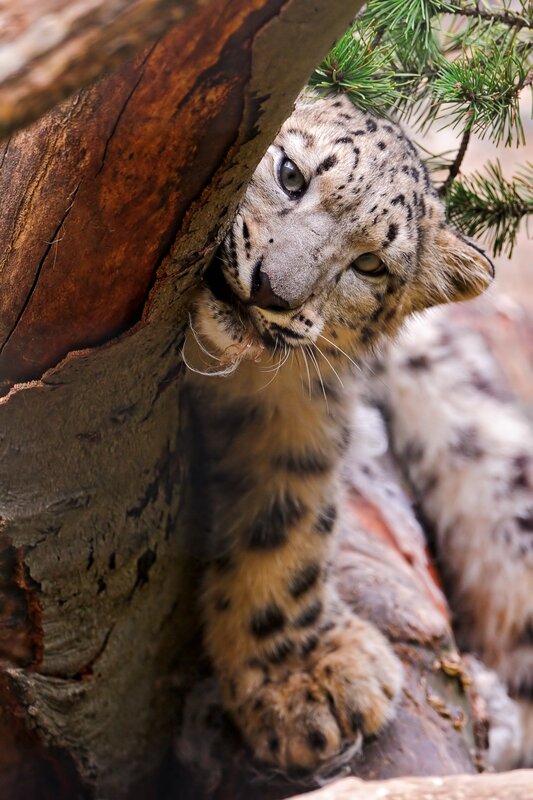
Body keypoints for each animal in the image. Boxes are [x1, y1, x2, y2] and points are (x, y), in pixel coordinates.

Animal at [182, 91, 497, 774]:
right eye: (290, 174)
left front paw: (302, 680)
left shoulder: (295, 410)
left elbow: (290, 525)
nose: (270, 289)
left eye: (370, 264)